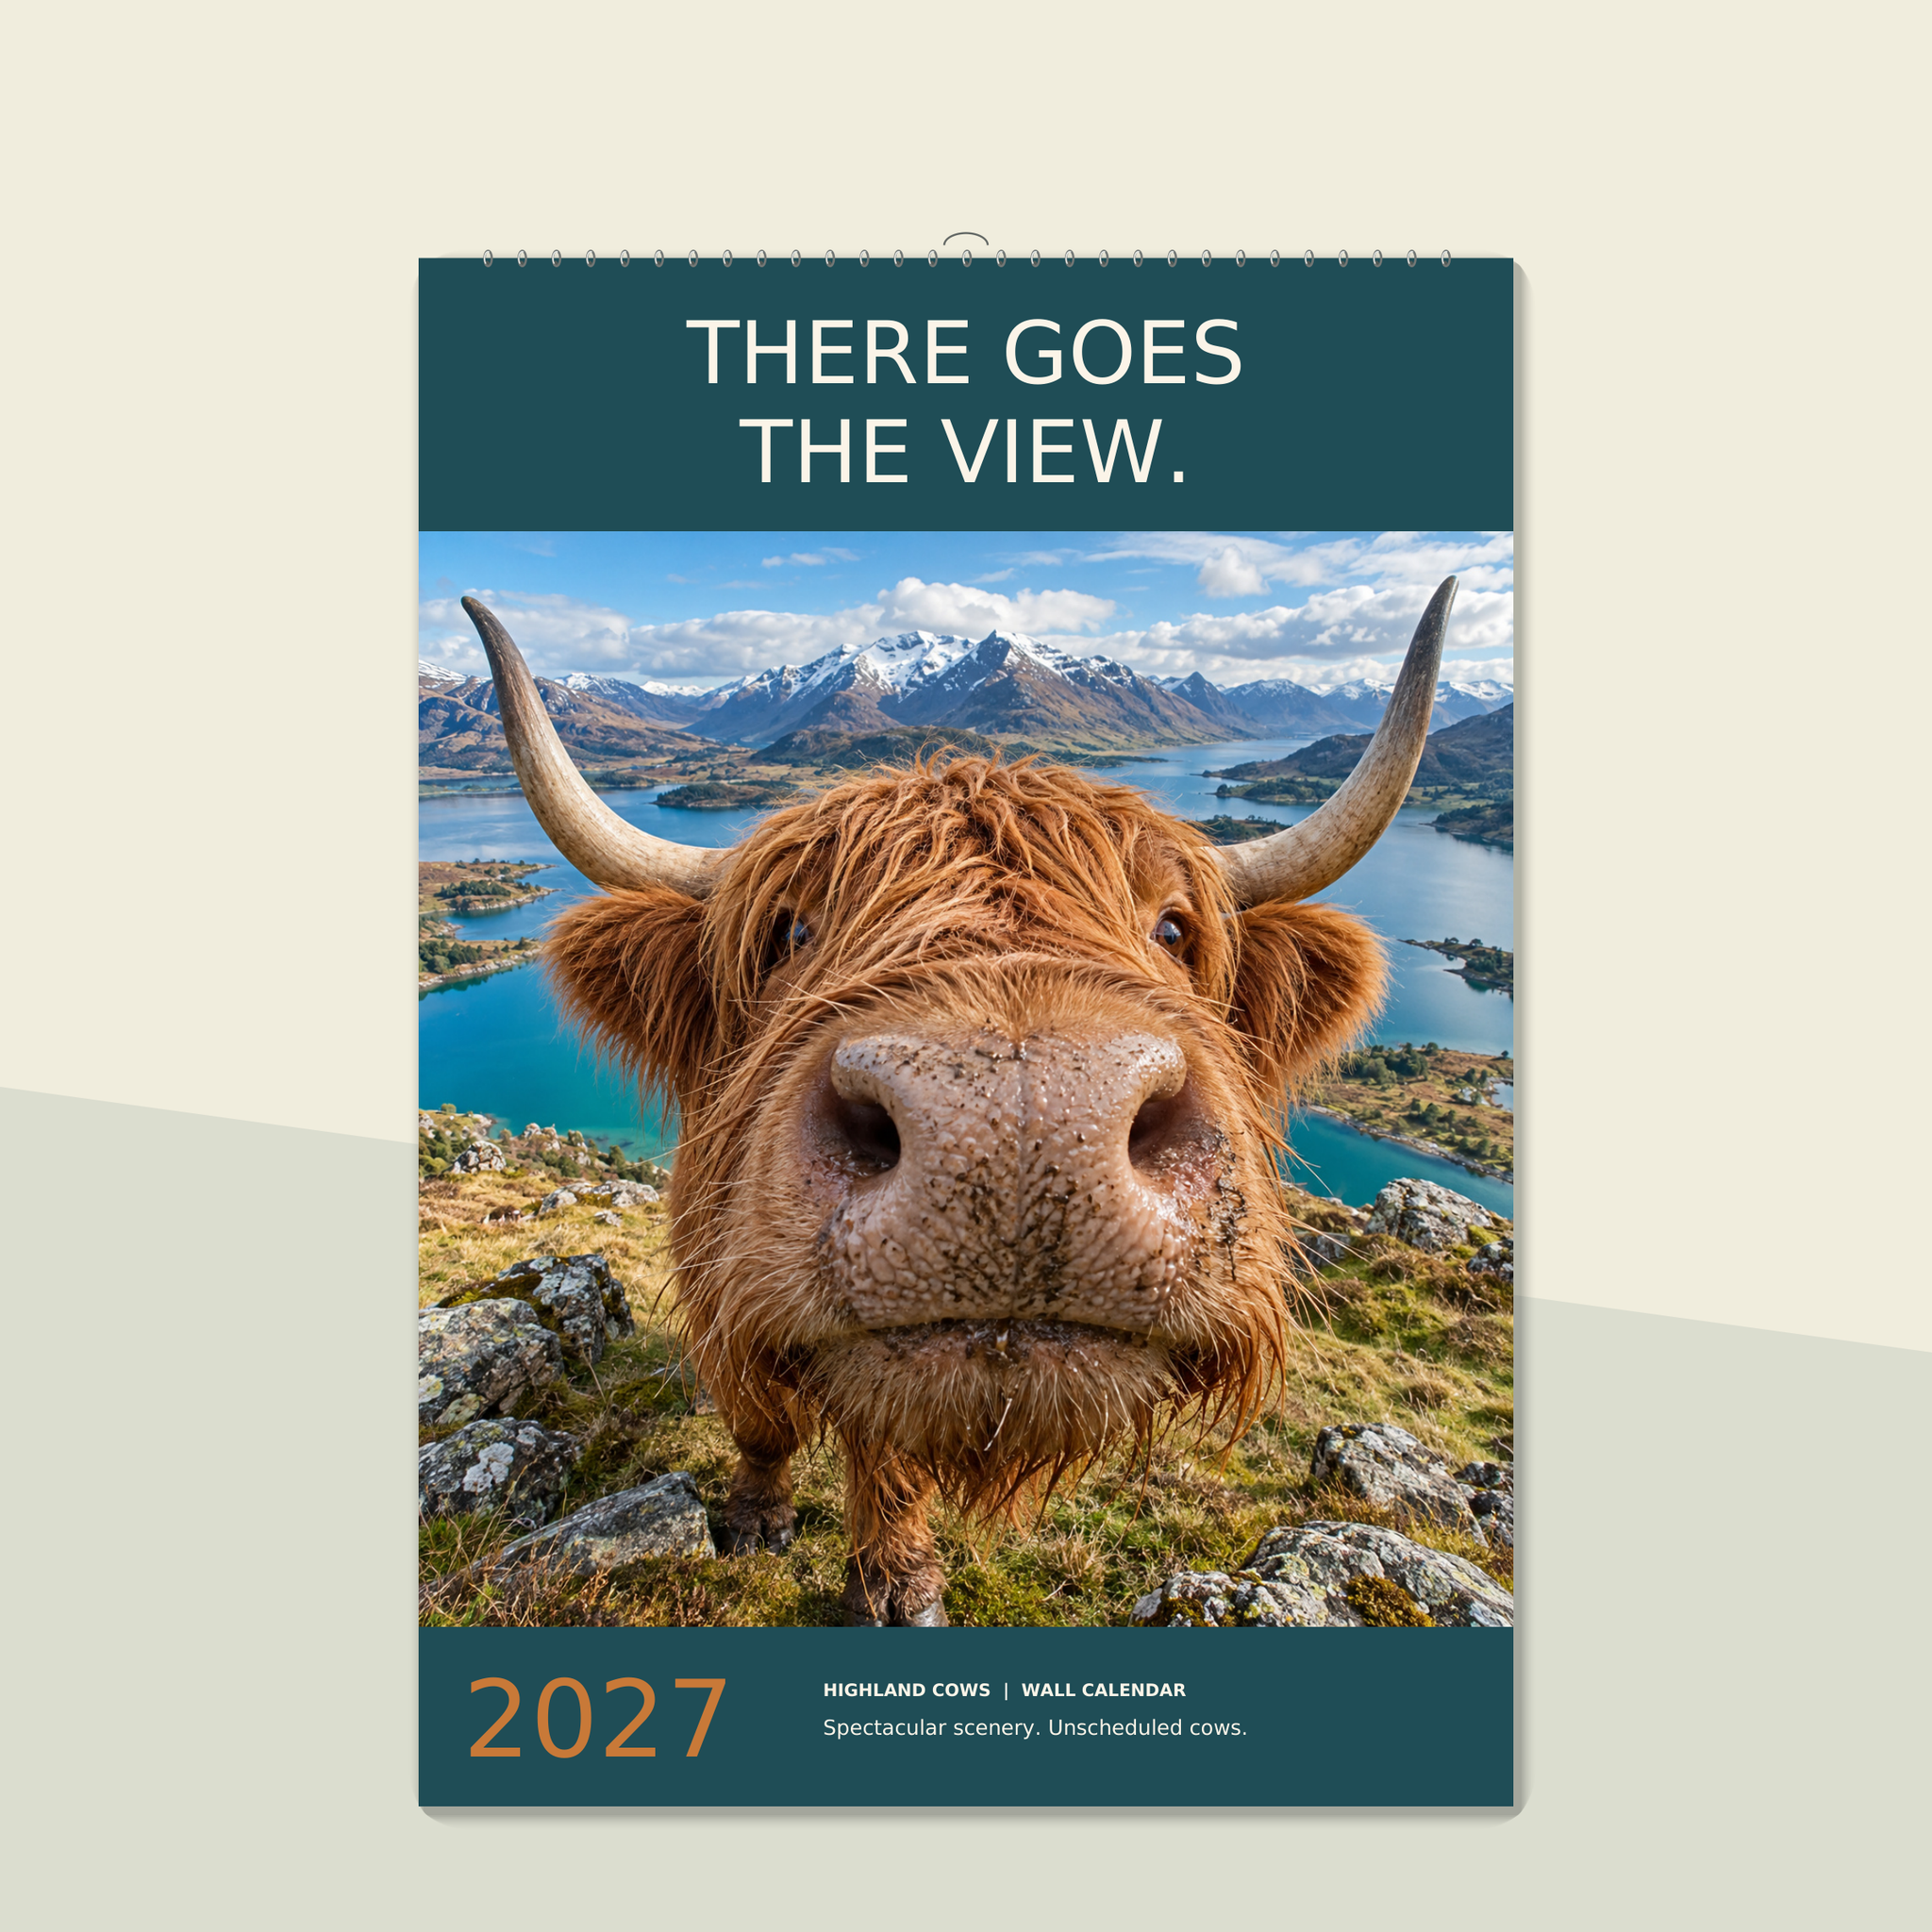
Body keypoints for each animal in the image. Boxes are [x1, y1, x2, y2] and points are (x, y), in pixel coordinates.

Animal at [460, 578, 1456, 1624]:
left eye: (1173, 928)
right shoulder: (714, 1270)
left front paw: (896, 1581)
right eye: (789, 929)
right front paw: (757, 1514)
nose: (1019, 1122)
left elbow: (889, 1458)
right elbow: (761, 1415)